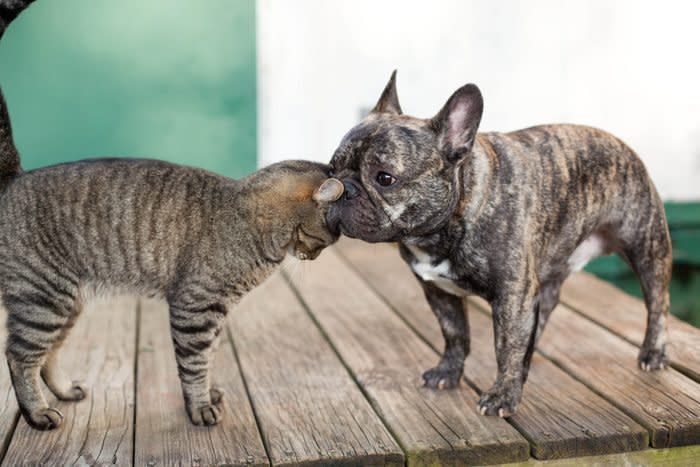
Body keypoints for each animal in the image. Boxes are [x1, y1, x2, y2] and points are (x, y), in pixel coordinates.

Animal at [0, 0, 344, 432]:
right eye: (326, 240)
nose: (313, 257)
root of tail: (15, 177)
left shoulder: (215, 313)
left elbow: (209, 357)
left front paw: (209, 393)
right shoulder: (195, 308)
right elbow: (194, 364)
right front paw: (199, 407)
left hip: (66, 304)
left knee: (48, 356)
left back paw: (62, 392)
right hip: (43, 300)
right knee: (18, 356)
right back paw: (37, 412)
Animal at [326, 72, 668, 416]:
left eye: (385, 178)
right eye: (331, 168)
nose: (341, 188)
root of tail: (623, 146)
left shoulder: (512, 294)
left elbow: (506, 346)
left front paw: (503, 394)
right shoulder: (439, 292)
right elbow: (455, 334)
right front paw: (448, 372)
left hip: (648, 248)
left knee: (657, 304)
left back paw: (653, 353)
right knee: (545, 306)